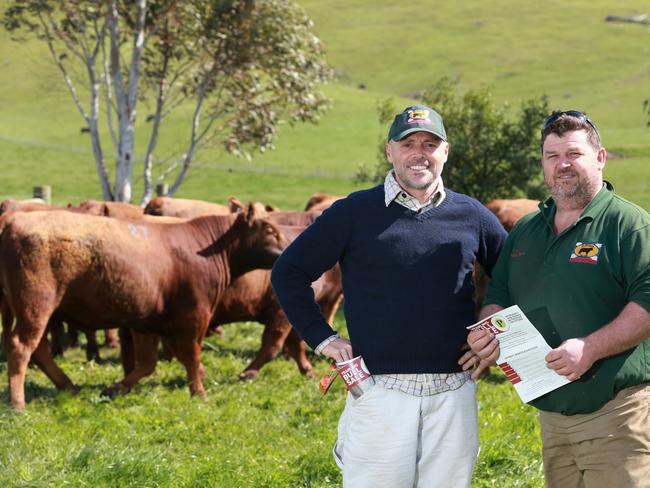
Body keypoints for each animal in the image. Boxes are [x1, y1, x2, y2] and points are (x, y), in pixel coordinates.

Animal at [0, 204, 284, 410]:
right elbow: (191, 357)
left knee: (39, 350)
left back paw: (67, 385)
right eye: (270, 229)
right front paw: (199, 393)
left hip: (42, 314)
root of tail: (14, 220)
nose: (285, 251)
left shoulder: (147, 323)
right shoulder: (194, 317)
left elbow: (147, 363)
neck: (203, 247)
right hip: (36, 308)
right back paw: (18, 403)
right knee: (21, 347)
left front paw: (114, 389)